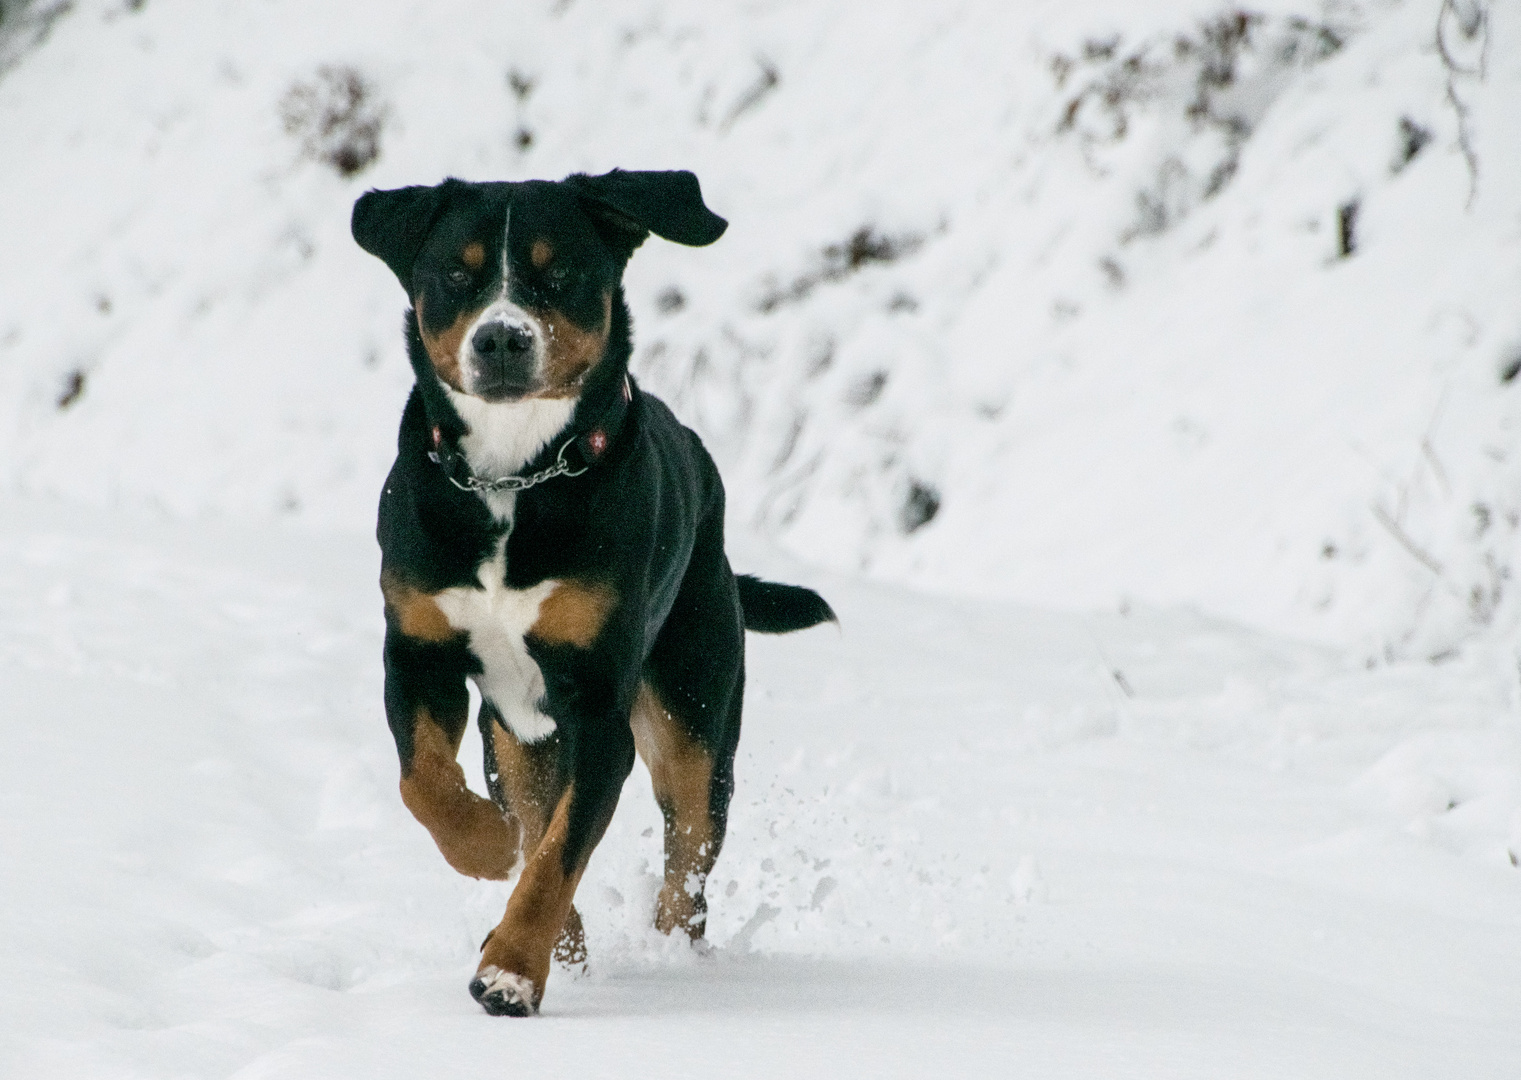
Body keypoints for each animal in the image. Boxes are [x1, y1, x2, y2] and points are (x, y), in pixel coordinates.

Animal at [349, 167, 833, 1016]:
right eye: (456, 275)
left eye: (561, 271)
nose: (501, 339)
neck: (513, 479)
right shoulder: (417, 654)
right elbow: (429, 787)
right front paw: (488, 850)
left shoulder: (599, 706)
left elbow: (557, 857)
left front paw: (511, 970)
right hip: (515, 738)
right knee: (534, 811)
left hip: (693, 717)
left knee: (686, 862)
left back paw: (667, 954)